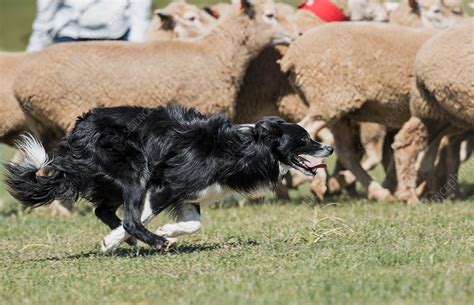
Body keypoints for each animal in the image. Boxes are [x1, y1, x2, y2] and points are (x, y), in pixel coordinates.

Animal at [13, 0, 292, 148]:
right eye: (270, 15)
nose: (296, 34)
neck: (216, 51)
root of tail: (20, 84)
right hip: (67, 111)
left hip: (42, 126)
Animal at [282, 22, 436, 201]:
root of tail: (291, 56)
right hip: (329, 98)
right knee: (308, 131)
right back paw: (319, 182)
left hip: (339, 111)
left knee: (345, 151)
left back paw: (376, 191)